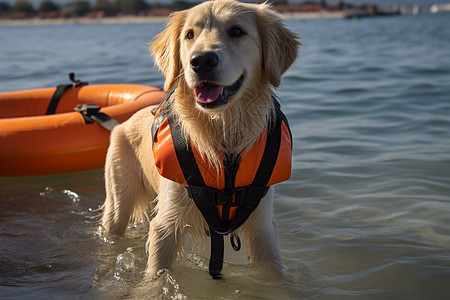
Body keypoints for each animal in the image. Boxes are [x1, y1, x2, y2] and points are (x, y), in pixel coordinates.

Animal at [102, 0, 298, 278]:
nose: (201, 61)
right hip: (118, 201)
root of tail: (122, 123)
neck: (223, 135)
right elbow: (156, 276)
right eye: (189, 35)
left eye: (237, 31)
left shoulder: (262, 226)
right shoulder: (166, 223)